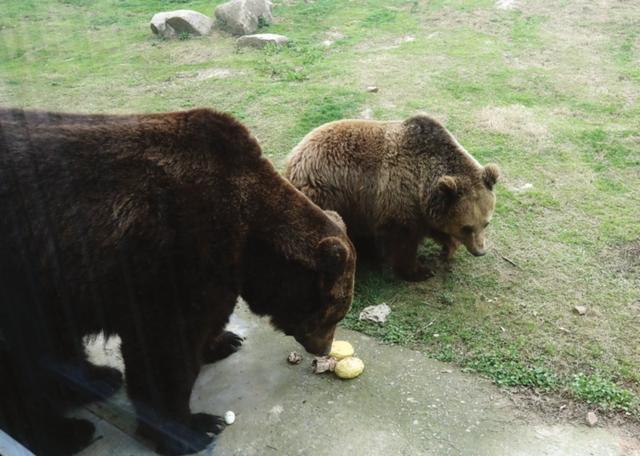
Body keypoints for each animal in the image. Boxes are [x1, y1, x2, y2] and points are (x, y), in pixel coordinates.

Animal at [0, 108, 356, 454]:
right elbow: (165, 350)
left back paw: (97, 379)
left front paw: (224, 341)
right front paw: (194, 427)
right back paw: (68, 431)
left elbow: (210, 319)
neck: (247, 241)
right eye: (334, 314)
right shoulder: (173, 256)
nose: (324, 349)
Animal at [284, 114, 500, 282]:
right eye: (466, 227)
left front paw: (448, 248)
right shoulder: (399, 201)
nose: (480, 251)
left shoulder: (427, 209)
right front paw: (419, 271)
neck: (422, 181)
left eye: (486, 223)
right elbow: (404, 241)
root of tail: (294, 157)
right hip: (329, 195)